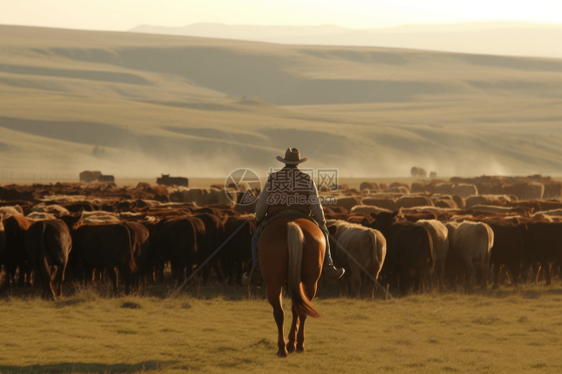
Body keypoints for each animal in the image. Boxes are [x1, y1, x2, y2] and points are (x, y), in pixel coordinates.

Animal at [258, 216, 334, 356]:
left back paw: (284, 347)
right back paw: (296, 345)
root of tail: (293, 225)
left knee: (280, 312)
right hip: (310, 282)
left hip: (273, 282)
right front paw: (292, 342)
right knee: (300, 310)